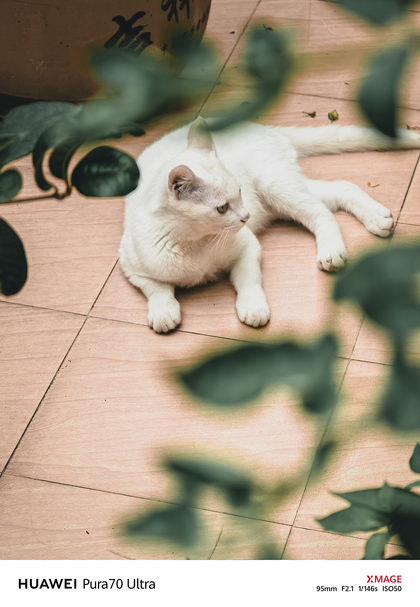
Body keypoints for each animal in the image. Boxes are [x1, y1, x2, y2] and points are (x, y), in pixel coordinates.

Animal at [120, 117, 420, 333]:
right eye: (222, 208)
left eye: (240, 191)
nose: (246, 217)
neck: (194, 241)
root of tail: (260, 125)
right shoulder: (132, 267)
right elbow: (157, 290)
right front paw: (163, 313)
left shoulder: (247, 247)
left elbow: (249, 281)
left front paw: (253, 308)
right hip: (281, 192)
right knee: (340, 189)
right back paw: (377, 218)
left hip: (275, 185)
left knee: (321, 211)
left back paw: (333, 251)